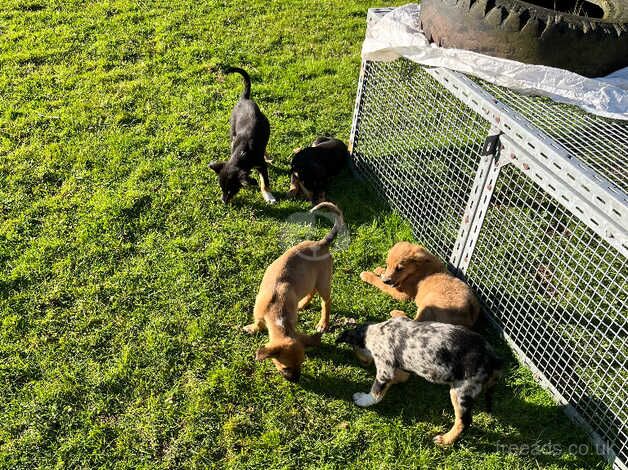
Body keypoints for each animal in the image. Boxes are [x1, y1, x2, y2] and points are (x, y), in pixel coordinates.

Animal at [211, 66, 274, 204]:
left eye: (231, 190)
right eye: (221, 188)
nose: (223, 202)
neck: (242, 154)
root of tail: (244, 99)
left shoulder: (261, 165)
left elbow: (265, 182)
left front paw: (269, 196)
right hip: (232, 131)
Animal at [244, 202, 344, 382]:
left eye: (302, 363)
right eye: (286, 368)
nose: (297, 380)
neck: (277, 315)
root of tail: (322, 243)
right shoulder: (260, 313)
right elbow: (258, 323)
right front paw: (254, 328)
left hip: (324, 282)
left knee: (326, 302)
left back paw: (323, 323)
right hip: (310, 280)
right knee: (312, 291)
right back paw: (303, 304)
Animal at [336, 316, 502, 444]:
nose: (362, 363)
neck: (375, 332)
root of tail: (493, 358)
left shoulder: (385, 369)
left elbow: (376, 392)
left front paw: (363, 399)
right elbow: (400, 377)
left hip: (461, 391)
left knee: (464, 422)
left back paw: (445, 440)